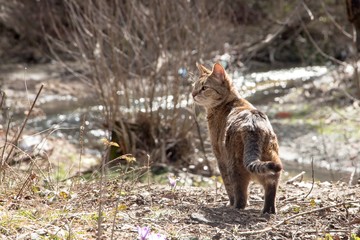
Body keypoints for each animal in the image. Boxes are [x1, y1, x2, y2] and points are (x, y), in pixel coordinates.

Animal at [193, 62, 282, 214]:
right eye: (194, 86)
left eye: (204, 88)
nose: (193, 94)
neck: (230, 102)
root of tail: (253, 125)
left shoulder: (220, 158)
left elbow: (228, 186)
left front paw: (230, 203)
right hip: (273, 162)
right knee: (271, 186)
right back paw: (268, 210)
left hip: (234, 166)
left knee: (241, 197)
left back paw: (235, 207)